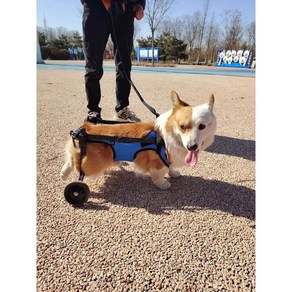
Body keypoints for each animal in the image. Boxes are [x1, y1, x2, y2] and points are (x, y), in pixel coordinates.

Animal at [60, 91, 217, 192]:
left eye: (202, 126)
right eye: (182, 127)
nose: (191, 147)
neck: (168, 135)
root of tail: (83, 131)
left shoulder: (169, 158)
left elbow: (170, 167)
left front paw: (174, 173)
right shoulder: (158, 162)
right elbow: (159, 174)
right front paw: (163, 184)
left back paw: (63, 173)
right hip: (94, 164)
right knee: (75, 163)